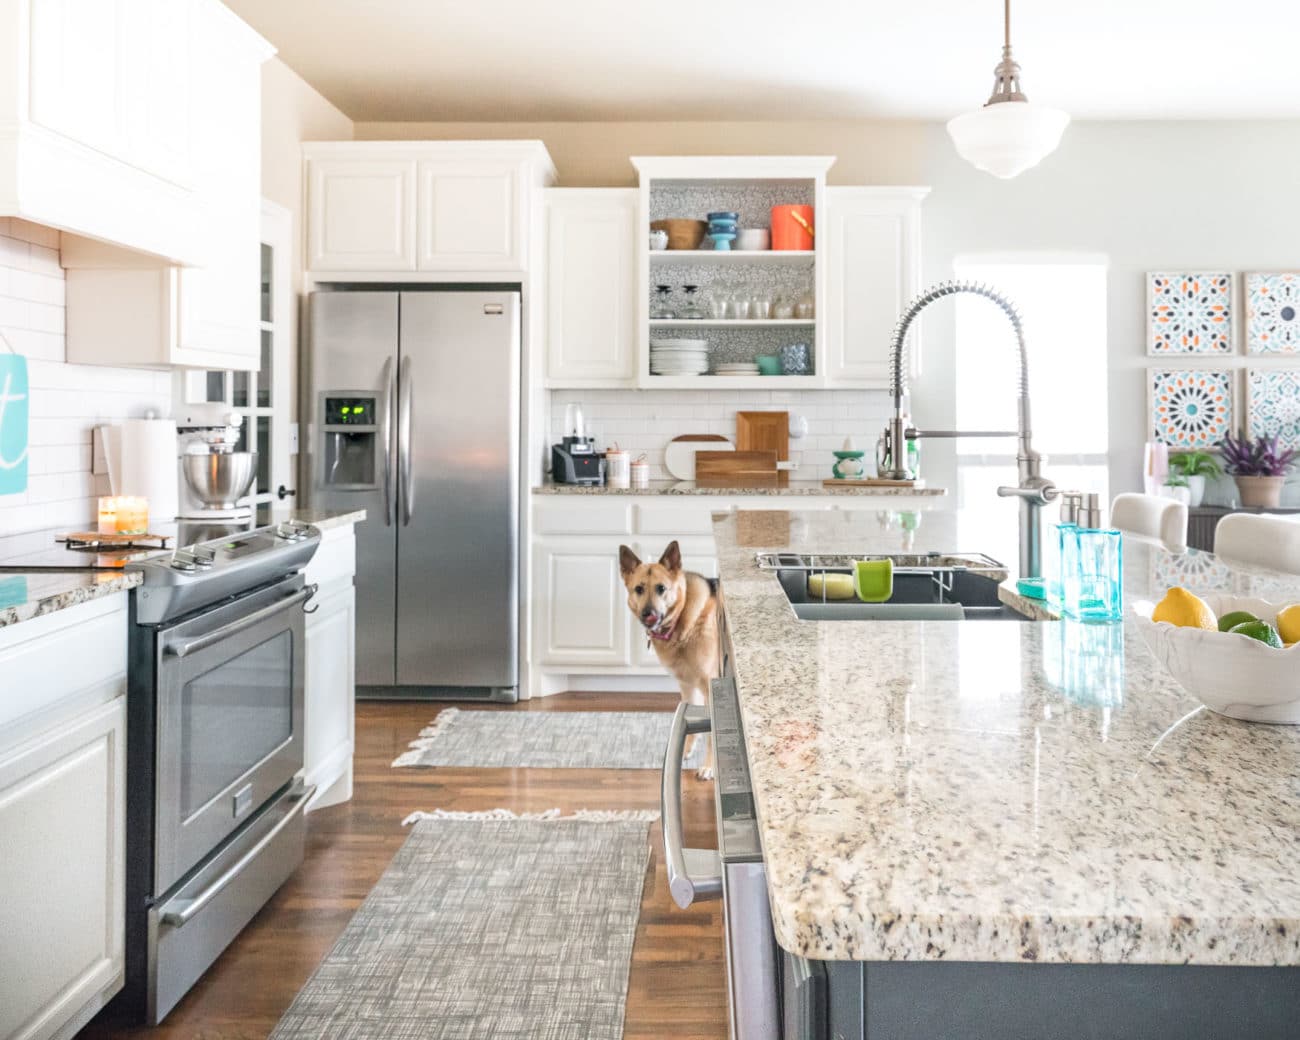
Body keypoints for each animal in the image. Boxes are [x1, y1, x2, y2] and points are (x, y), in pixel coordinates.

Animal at [618, 540, 722, 774]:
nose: (648, 614)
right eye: (639, 589)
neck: (684, 620)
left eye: (661, 589)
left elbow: (712, 735)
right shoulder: (687, 686)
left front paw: (709, 767)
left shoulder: (710, 686)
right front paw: (685, 752)